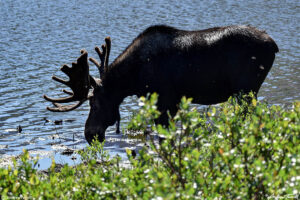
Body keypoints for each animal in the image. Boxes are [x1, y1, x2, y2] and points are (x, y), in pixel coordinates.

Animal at [44, 25, 278, 145]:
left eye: (94, 103)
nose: (89, 135)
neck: (133, 79)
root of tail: (274, 45)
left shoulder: (164, 102)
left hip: (246, 89)